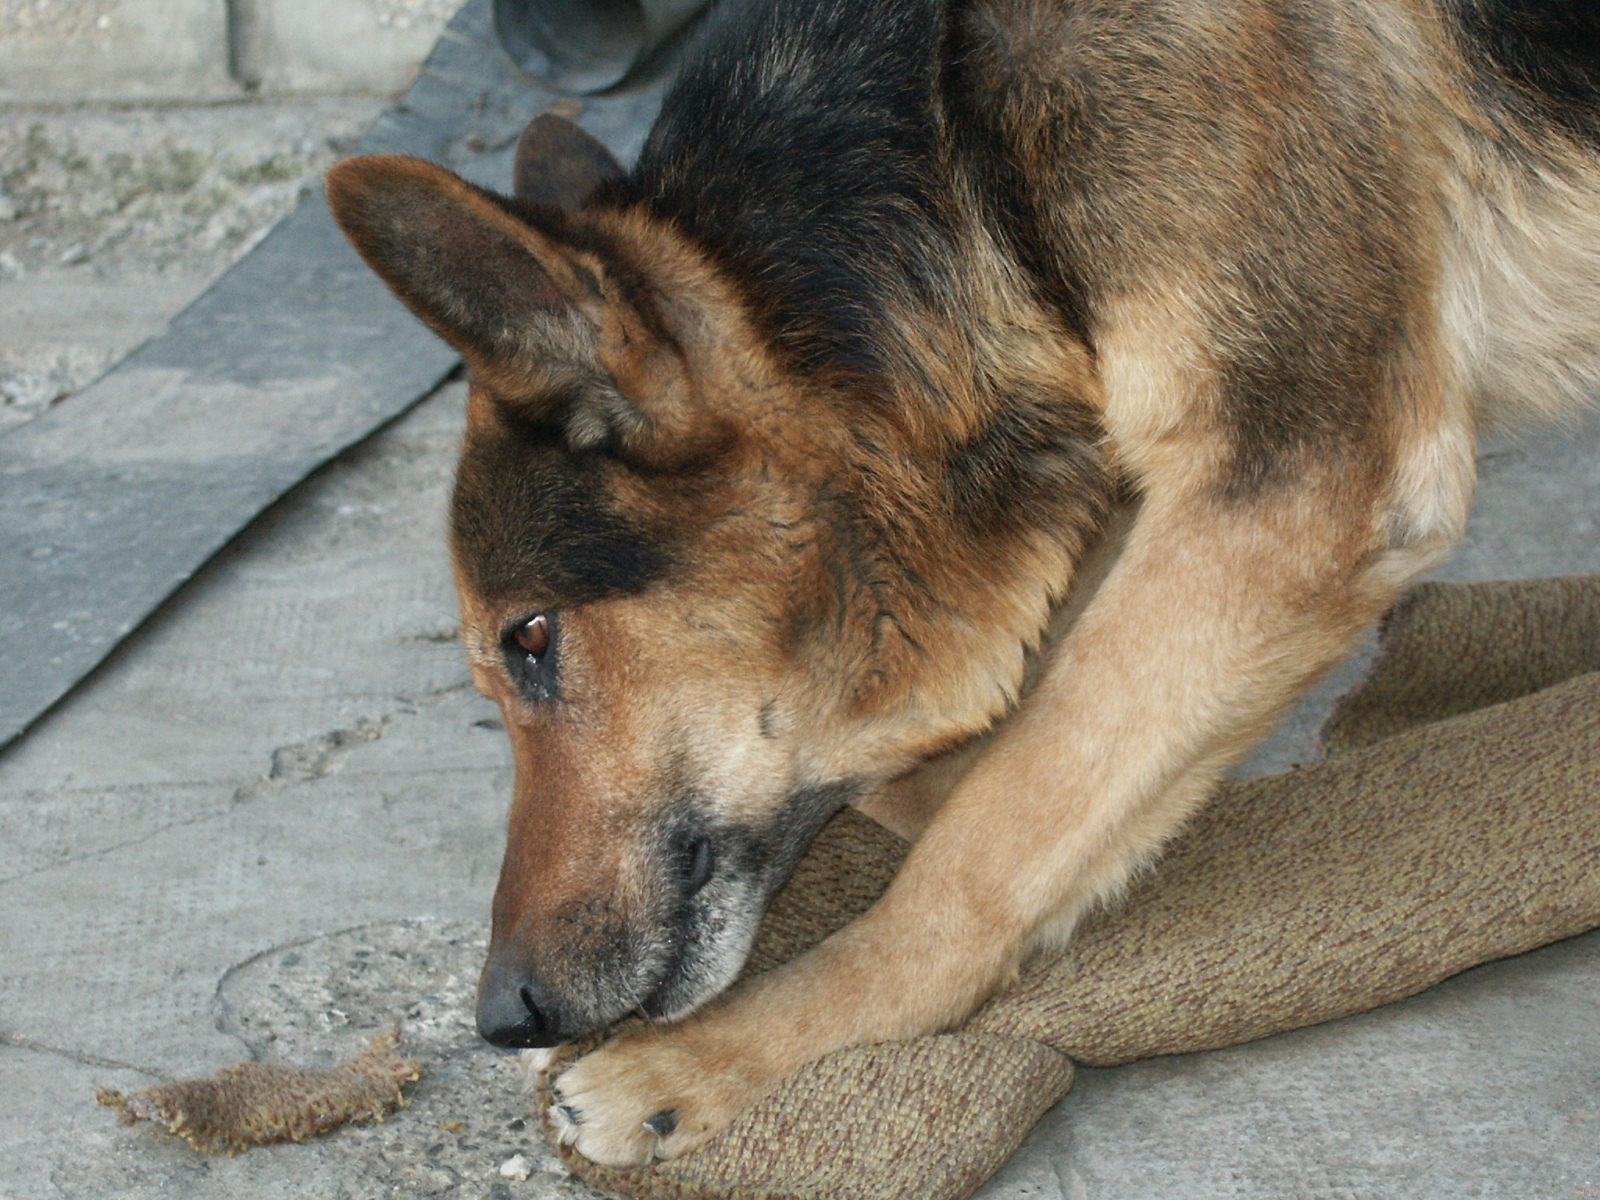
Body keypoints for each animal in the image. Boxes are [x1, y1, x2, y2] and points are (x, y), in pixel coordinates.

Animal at [327, 0, 1600, 1167]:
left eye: (532, 637)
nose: (503, 1015)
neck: (958, 142)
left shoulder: (1291, 495)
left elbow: (989, 836)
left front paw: (723, 1055)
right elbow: (995, 764)